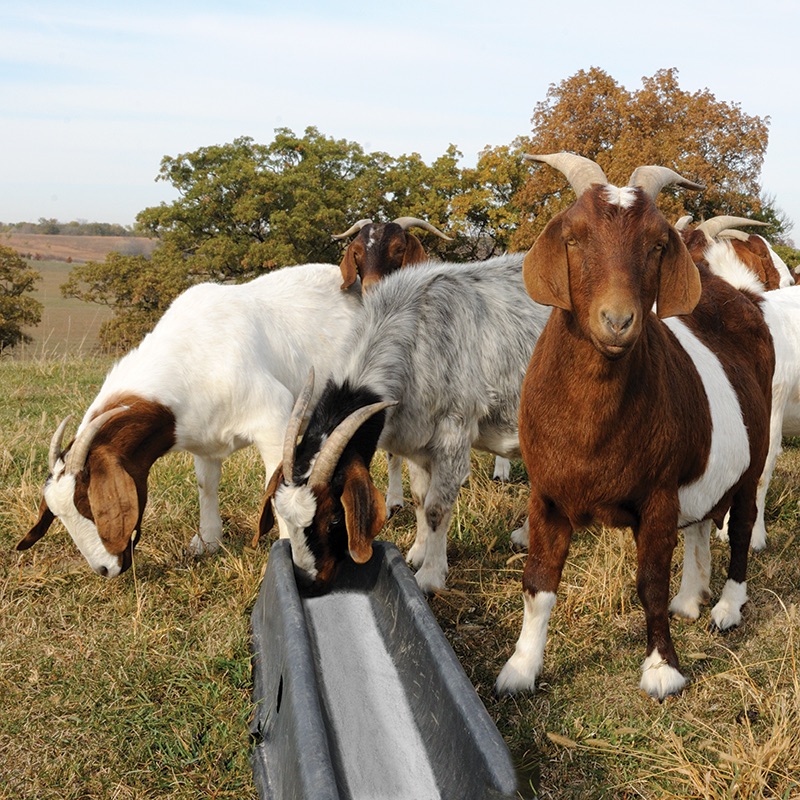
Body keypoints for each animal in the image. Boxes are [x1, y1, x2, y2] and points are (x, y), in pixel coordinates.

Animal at [500, 152, 776, 700]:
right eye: (573, 237)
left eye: (656, 244)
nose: (618, 320)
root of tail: (739, 293)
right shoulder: (546, 493)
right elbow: (538, 581)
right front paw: (520, 668)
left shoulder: (658, 495)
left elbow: (649, 582)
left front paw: (662, 670)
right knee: (700, 521)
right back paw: (690, 598)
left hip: (752, 459)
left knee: (740, 525)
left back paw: (726, 607)